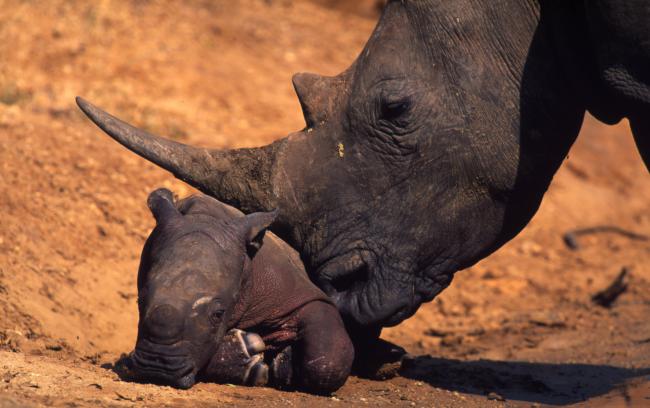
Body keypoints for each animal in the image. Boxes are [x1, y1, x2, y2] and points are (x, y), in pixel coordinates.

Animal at [129, 188, 352, 392]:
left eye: (219, 314)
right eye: (139, 302)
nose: (156, 369)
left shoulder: (297, 293)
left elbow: (327, 359)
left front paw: (284, 364)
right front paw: (249, 359)